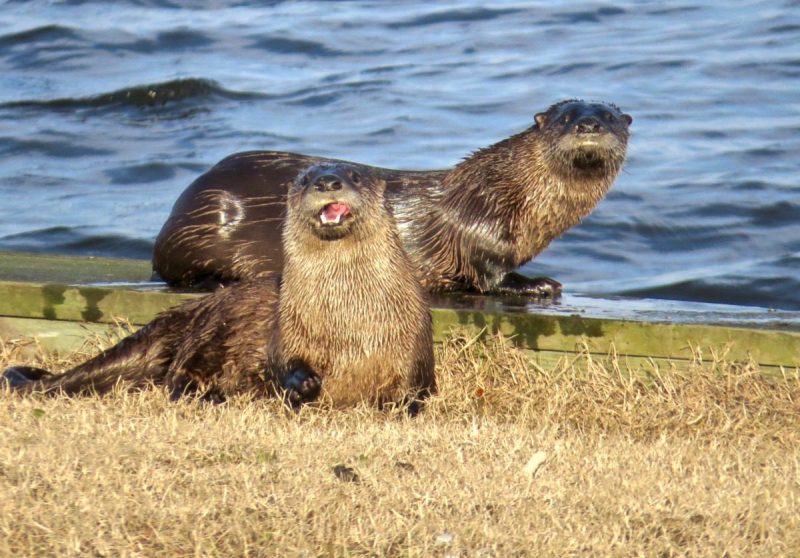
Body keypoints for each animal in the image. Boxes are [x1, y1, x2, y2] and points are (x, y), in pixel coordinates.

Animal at [3, 164, 435, 408]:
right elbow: (283, 364)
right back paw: (210, 395)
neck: (349, 324)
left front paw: (406, 406)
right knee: (176, 377)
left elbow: (417, 390)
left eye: (355, 176)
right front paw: (302, 385)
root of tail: (188, 309)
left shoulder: (415, 341)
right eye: (304, 179)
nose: (328, 181)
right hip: (210, 333)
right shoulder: (287, 330)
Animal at [153, 99, 632, 296]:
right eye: (565, 117)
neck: (513, 193)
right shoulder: (479, 230)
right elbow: (489, 275)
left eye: (609, 117)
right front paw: (537, 284)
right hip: (207, 217)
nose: (589, 125)